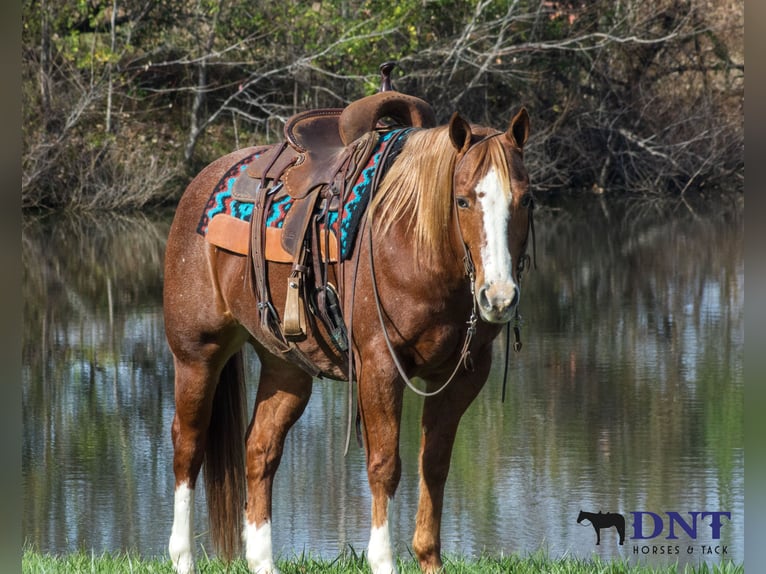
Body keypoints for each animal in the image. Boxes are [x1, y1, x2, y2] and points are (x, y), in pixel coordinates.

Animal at [163, 102, 533, 574]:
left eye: (526, 199)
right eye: (463, 199)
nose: (498, 297)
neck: (416, 243)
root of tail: (201, 183)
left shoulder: (463, 376)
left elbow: (434, 464)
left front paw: (429, 559)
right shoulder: (381, 368)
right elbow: (384, 464)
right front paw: (383, 560)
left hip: (287, 369)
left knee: (260, 449)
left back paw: (263, 560)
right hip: (197, 354)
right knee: (188, 446)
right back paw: (183, 556)